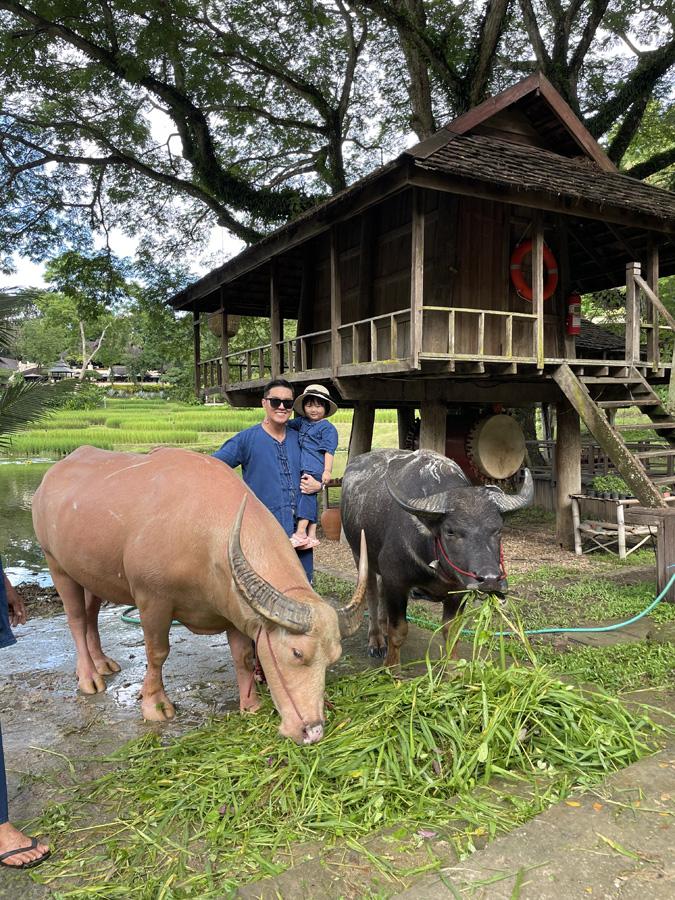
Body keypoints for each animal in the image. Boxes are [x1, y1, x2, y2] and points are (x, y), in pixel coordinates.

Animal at [30, 444, 370, 744]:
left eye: (333, 658)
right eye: (297, 653)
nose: (313, 731)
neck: (203, 538)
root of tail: (51, 478)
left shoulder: (234, 610)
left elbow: (243, 656)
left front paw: (250, 705)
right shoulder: (151, 599)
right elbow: (157, 652)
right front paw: (154, 705)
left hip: (90, 574)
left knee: (91, 615)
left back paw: (103, 663)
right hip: (56, 563)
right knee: (76, 619)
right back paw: (89, 677)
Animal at [344, 450, 532, 668]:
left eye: (498, 529)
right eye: (450, 531)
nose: (490, 579)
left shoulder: (458, 590)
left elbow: (451, 631)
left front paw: (453, 667)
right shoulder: (396, 582)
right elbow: (398, 631)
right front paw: (391, 666)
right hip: (360, 555)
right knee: (372, 596)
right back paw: (376, 641)